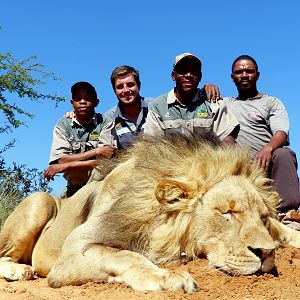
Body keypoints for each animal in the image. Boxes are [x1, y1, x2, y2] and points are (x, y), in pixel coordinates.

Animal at [0, 132, 300, 292]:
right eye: (227, 213)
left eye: (263, 217)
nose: (266, 253)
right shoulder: (74, 250)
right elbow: (125, 256)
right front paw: (169, 277)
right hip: (40, 201)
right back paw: (20, 271)